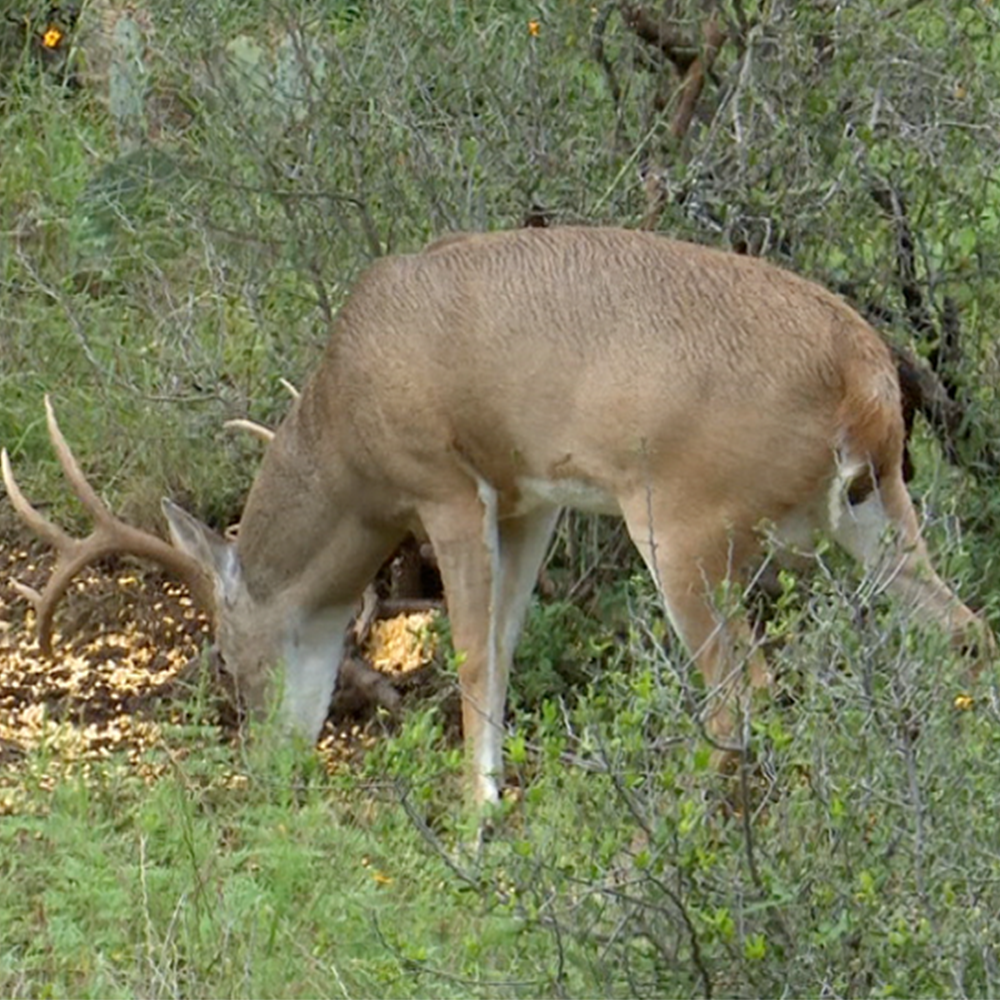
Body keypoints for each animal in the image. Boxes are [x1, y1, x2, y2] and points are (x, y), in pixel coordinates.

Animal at [3, 226, 992, 806]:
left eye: (230, 658)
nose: (267, 770)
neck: (347, 423)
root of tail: (867, 378)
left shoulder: (443, 484)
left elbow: (474, 655)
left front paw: (478, 821)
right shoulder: (529, 501)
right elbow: (509, 646)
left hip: (684, 520)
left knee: (741, 689)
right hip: (876, 511)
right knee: (962, 628)